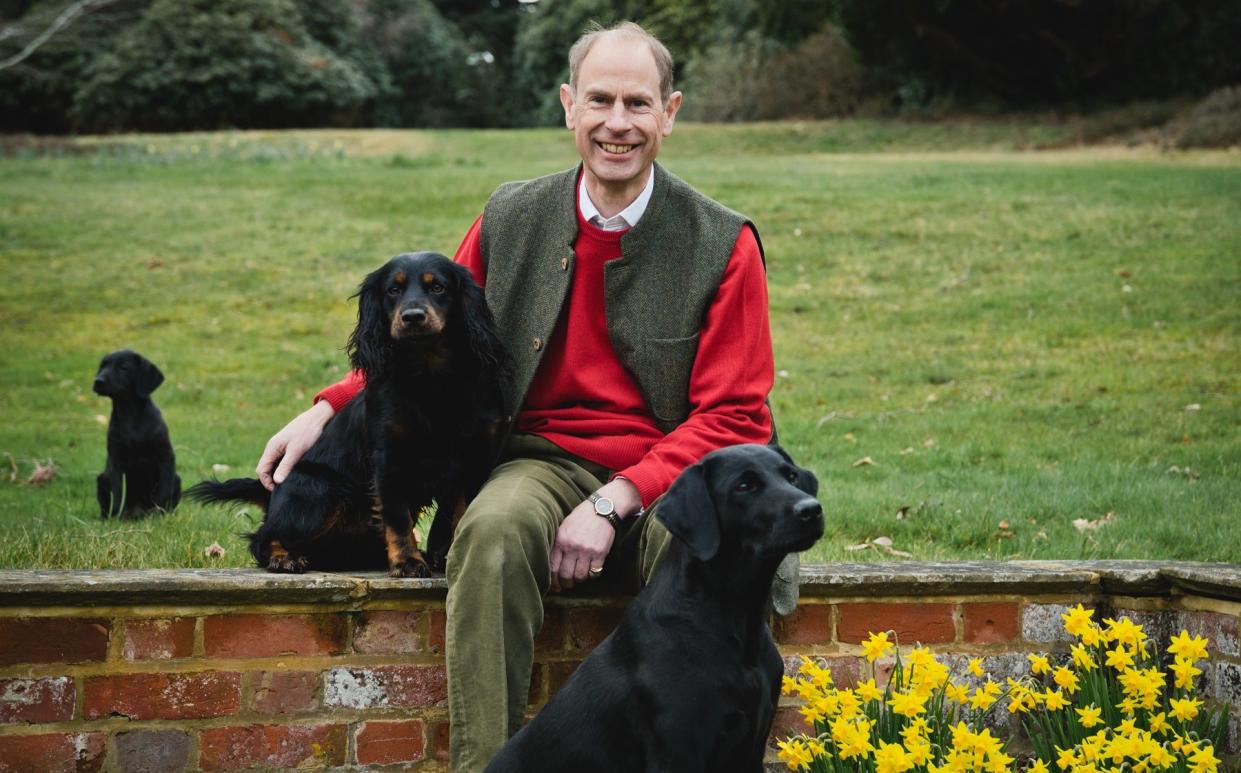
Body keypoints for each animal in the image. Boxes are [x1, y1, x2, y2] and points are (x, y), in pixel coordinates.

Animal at [91, 349, 181, 521]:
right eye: (102, 366)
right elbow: (118, 493)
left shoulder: (165, 456)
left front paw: (159, 515)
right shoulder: (116, 461)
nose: (98, 381)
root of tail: (137, 512)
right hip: (102, 479)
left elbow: (163, 491)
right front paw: (117, 517)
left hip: (177, 479)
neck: (129, 415)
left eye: (123, 367)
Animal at [189, 250, 508, 578]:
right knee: (262, 537)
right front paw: (407, 561)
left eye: (438, 287)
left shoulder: (474, 456)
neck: (431, 376)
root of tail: (272, 491)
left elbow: (460, 512)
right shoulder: (388, 460)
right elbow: (398, 518)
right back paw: (284, 557)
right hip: (321, 489)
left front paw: (444, 557)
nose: (413, 317)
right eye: (393, 290)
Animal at [483, 441, 824, 773]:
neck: (735, 617)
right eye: (744, 485)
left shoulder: (751, 747)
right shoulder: (678, 747)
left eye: (791, 476)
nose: (812, 509)